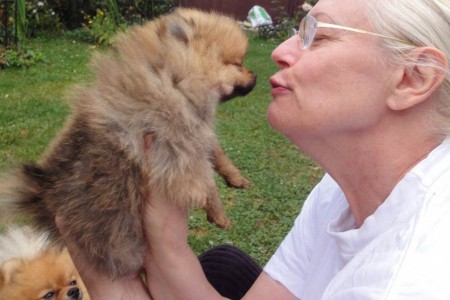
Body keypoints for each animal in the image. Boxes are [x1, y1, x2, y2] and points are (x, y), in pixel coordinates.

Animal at [0, 8, 256, 278]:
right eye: (237, 64)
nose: (256, 75)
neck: (174, 77)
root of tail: (44, 192)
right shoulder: (178, 145)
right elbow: (206, 180)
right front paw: (218, 212)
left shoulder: (196, 132)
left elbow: (215, 152)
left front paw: (234, 177)